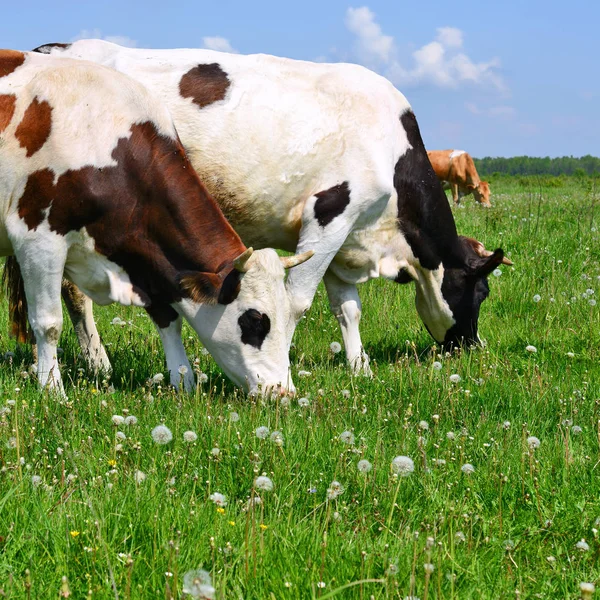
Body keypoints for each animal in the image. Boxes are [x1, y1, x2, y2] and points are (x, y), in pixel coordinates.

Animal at [1, 47, 314, 394]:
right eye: (254, 320)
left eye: (287, 319)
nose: (282, 391)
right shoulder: (37, 238)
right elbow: (48, 323)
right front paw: (52, 388)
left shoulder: (146, 255)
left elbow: (168, 317)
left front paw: (183, 381)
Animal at [19, 42, 510, 378]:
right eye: (481, 292)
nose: (475, 347)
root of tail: (57, 48)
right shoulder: (329, 215)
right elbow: (298, 300)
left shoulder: (343, 237)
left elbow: (347, 308)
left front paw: (360, 366)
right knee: (73, 294)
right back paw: (98, 363)